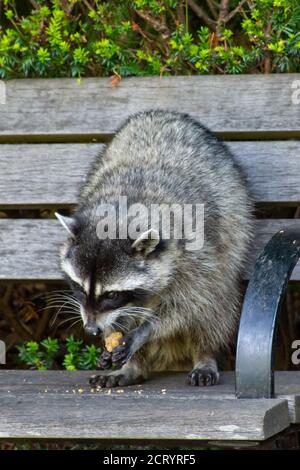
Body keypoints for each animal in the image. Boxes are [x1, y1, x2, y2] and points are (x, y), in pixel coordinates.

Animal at [56, 108, 253, 388]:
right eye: (80, 289)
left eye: (111, 295)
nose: (92, 330)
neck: (120, 213)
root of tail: (164, 112)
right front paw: (117, 333)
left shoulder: (196, 255)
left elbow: (189, 304)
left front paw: (144, 331)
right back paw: (134, 366)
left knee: (214, 307)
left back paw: (204, 353)